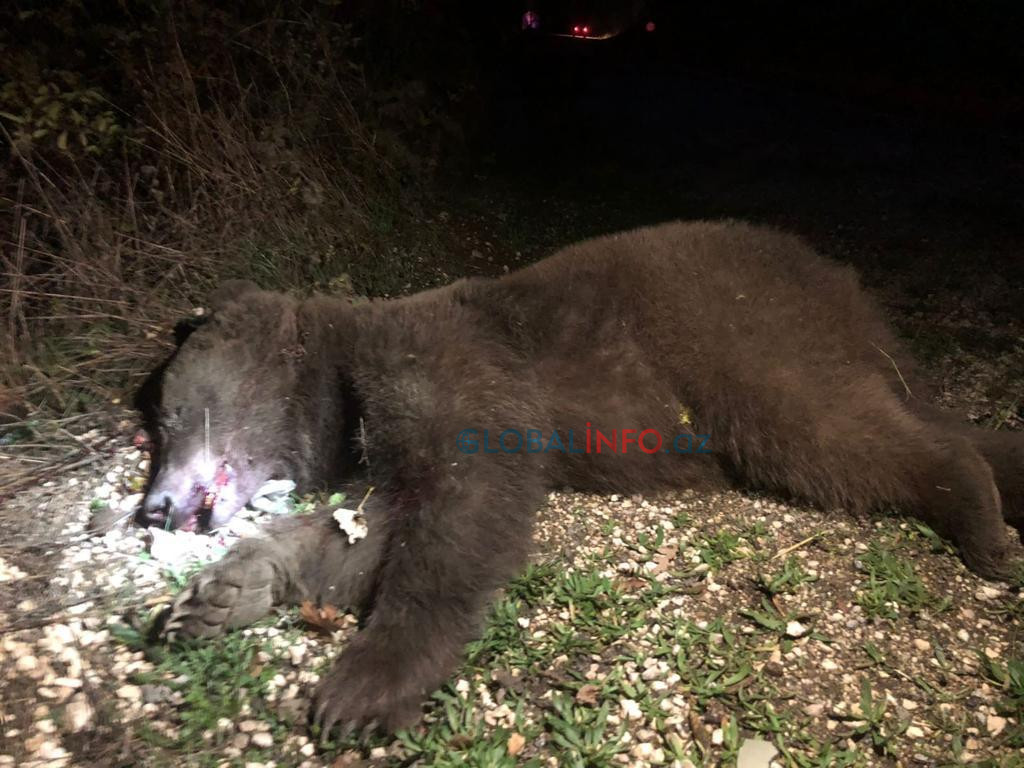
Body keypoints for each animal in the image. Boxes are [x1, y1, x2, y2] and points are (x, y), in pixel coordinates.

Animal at [144, 219, 1024, 737]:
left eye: (168, 413)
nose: (154, 506)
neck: (337, 388)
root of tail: (842, 282)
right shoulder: (389, 440)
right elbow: (372, 524)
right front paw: (220, 595)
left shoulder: (449, 364)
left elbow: (465, 510)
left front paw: (360, 687)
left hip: (740, 331)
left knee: (829, 430)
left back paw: (980, 522)